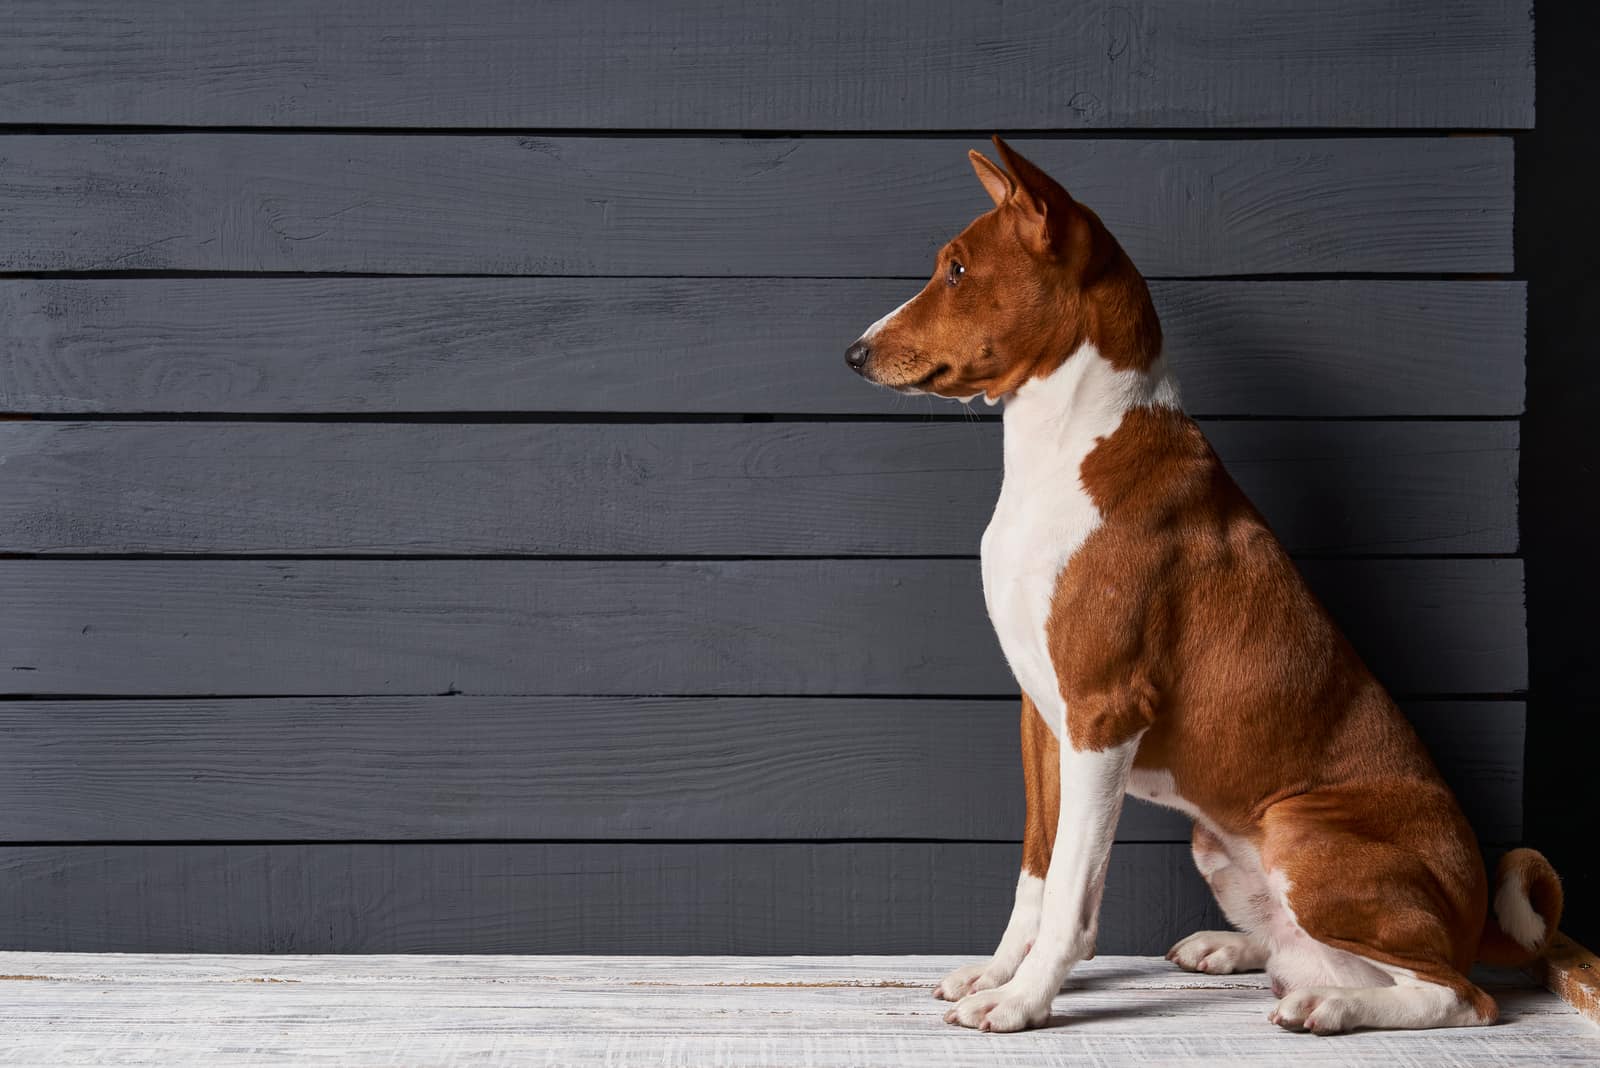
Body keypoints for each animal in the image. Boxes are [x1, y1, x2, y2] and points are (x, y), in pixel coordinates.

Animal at [851, 139, 1561, 1036]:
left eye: (955, 271)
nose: (854, 352)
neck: (1061, 452)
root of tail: (1473, 919)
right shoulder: (1043, 716)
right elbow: (1036, 875)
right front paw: (999, 972)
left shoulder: (1103, 715)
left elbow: (1072, 895)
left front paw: (1025, 1000)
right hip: (1216, 841)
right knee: (1316, 951)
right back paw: (1236, 949)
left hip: (1300, 827)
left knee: (1456, 993)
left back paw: (1330, 1006)